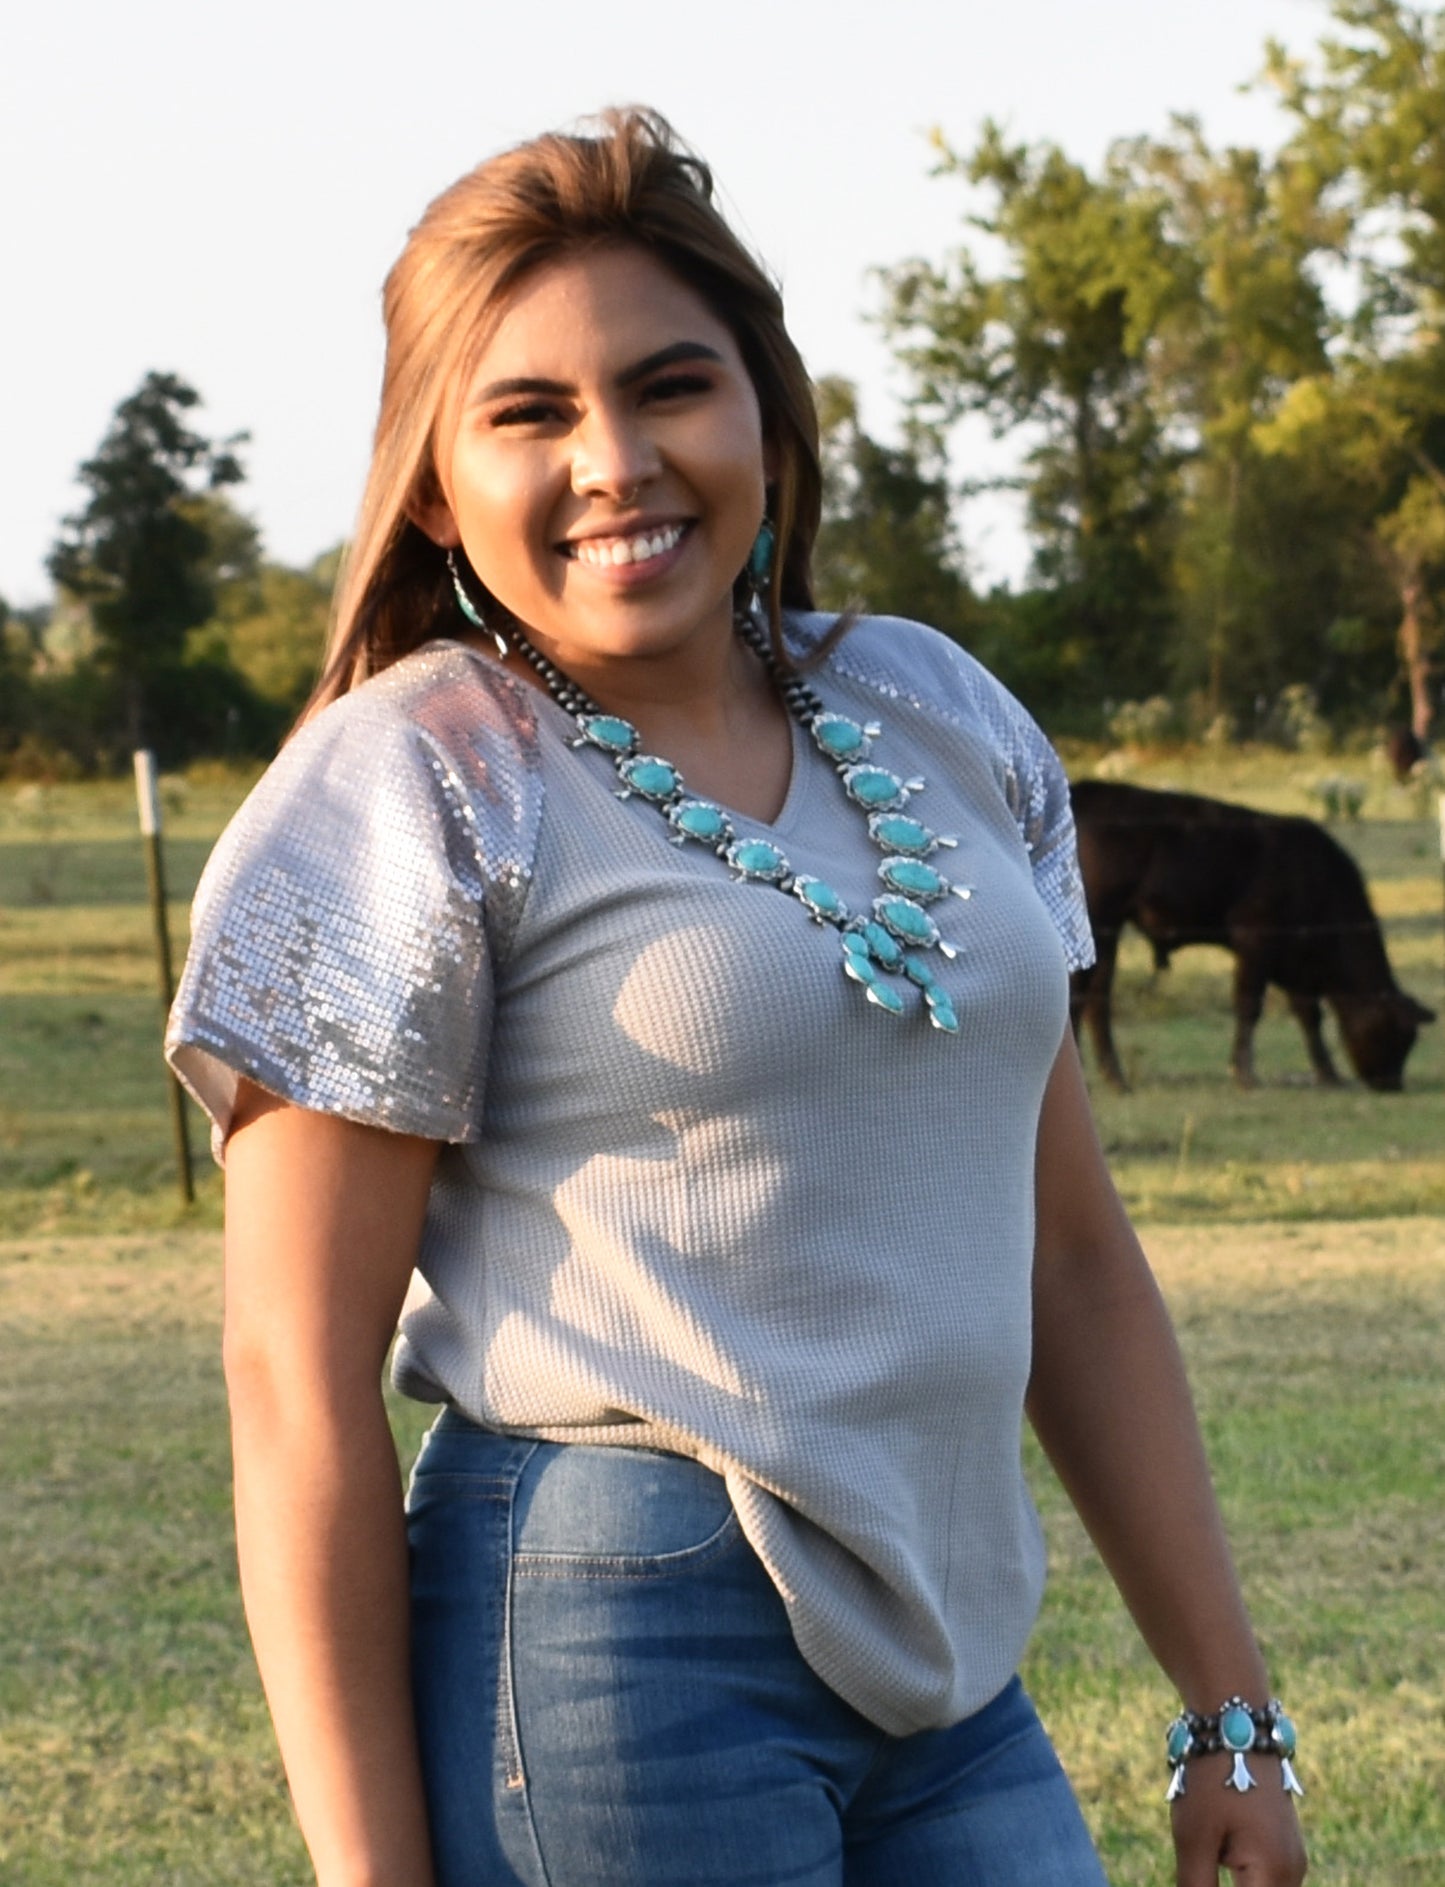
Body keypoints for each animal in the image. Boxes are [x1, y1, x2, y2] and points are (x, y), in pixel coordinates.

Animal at [1071, 777, 1433, 1094]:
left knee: (1095, 997)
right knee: (1083, 993)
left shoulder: (1296, 963)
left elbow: (1309, 1015)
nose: (1391, 1084)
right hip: (1101, 924)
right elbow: (1249, 1006)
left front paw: (1328, 1074)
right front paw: (1244, 1074)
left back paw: (1114, 1078)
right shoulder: (1256, 942)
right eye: (1401, 1035)